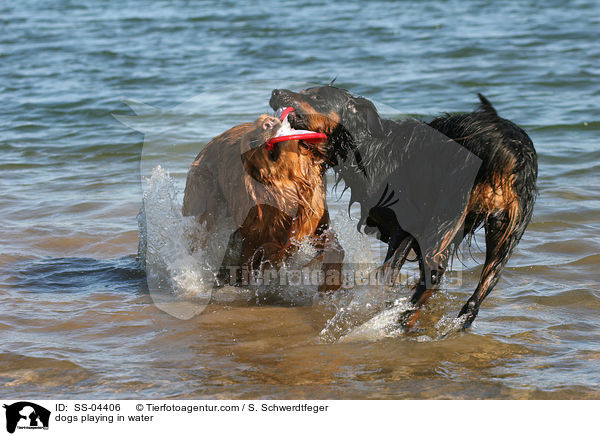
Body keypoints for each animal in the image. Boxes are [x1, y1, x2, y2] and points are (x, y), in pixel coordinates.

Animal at [182, 114, 342, 292]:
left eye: (263, 119)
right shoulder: (250, 241)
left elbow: (336, 249)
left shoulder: (318, 226)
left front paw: (330, 283)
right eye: (252, 141)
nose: (269, 122)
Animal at [270, 87, 536, 328]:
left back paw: (399, 321)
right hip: (507, 231)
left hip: (444, 213)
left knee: (432, 275)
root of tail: (505, 148)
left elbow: (390, 269)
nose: (275, 92)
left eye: (316, 96)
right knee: (476, 295)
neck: (367, 146)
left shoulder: (406, 224)